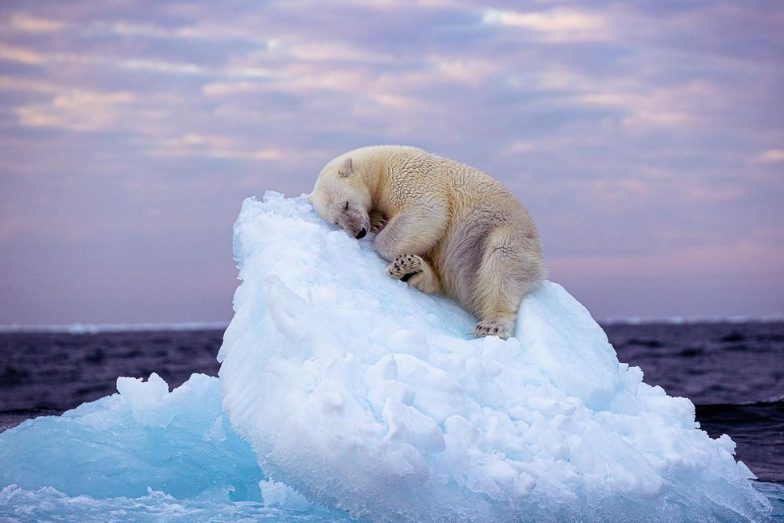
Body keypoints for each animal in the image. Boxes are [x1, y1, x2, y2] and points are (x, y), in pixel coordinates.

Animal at [308, 145, 544, 340]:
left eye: (346, 204)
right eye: (336, 221)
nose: (359, 232)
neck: (380, 165)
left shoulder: (409, 177)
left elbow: (426, 212)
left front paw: (381, 233)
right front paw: (378, 221)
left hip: (503, 232)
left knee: (502, 263)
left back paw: (492, 325)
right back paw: (410, 269)